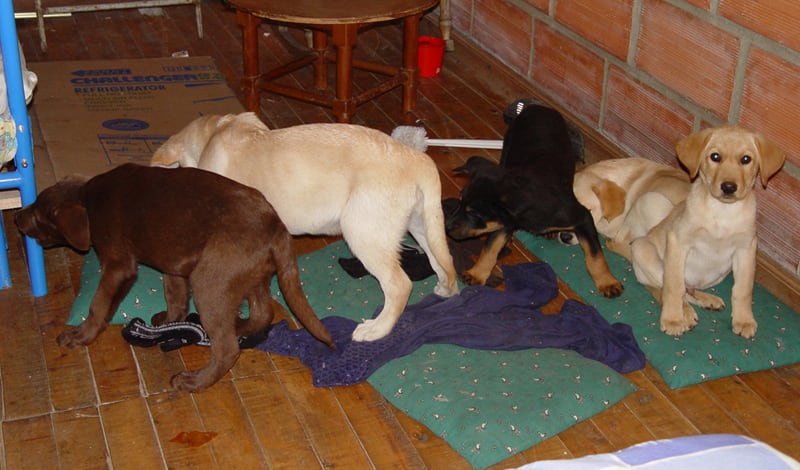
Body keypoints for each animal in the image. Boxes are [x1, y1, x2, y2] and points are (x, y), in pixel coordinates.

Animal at [15, 163, 334, 392]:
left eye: (39, 217)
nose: (17, 217)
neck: (90, 200)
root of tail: (277, 226)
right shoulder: (174, 263)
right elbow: (175, 296)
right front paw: (168, 322)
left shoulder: (118, 266)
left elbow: (98, 306)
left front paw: (79, 336)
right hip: (249, 275)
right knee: (261, 313)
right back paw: (239, 325)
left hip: (211, 280)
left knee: (227, 348)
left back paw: (194, 382)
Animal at [152, 114, 460, 342]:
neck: (214, 133)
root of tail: (417, 158)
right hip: (421, 223)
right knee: (442, 260)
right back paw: (446, 290)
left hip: (363, 232)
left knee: (399, 285)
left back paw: (375, 329)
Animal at [444, 103, 624, 298]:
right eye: (459, 202)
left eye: (475, 214)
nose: (446, 228)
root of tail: (537, 106)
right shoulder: (503, 221)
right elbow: (489, 248)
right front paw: (477, 274)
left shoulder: (582, 217)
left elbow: (595, 254)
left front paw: (607, 282)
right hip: (508, 146)